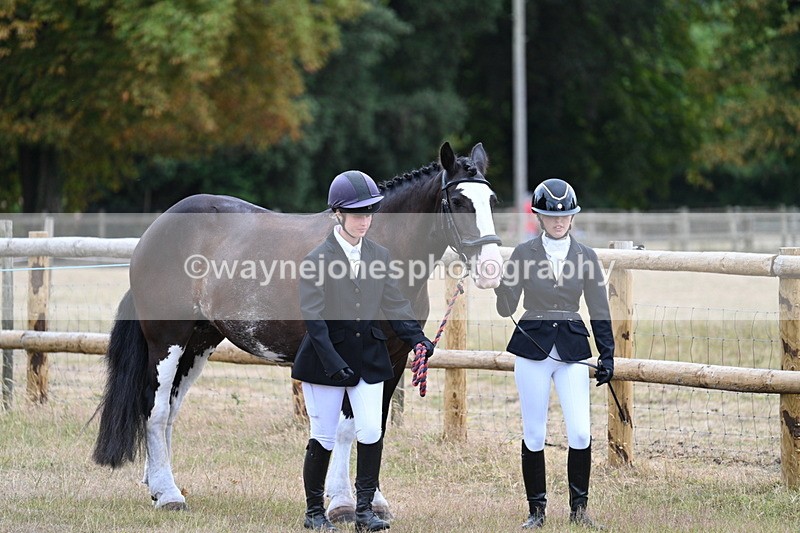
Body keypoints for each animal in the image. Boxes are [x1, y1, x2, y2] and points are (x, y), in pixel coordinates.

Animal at [92, 142, 503, 517]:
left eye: (492, 200)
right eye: (460, 201)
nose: (491, 268)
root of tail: (156, 230)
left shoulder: (394, 359)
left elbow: (375, 427)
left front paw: (375, 501)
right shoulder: (349, 359)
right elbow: (345, 429)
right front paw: (342, 503)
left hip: (199, 342)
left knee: (171, 408)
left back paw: (156, 484)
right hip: (168, 339)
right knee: (156, 407)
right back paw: (169, 495)